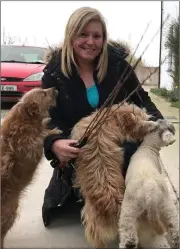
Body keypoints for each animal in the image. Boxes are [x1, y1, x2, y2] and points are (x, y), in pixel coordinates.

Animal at [0, 87, 60, 247]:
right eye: (43, 93)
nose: (54, 88)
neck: (25, 118)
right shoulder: (29, 147)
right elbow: (41, 136)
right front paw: (53, 130)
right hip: (10, 212)